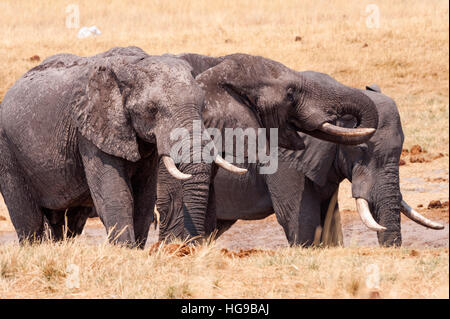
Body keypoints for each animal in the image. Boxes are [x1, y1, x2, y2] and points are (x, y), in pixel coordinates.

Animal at [0, 47, 244, 248]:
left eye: (202, 104)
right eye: (152, 109)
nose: (189, 248)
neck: (133, 65)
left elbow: (144, 196)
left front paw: (136, 251)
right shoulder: (90, 131)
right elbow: (115, 192)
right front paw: (124, 251)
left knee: (68, 221)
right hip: (7, 149)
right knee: (29, 219)